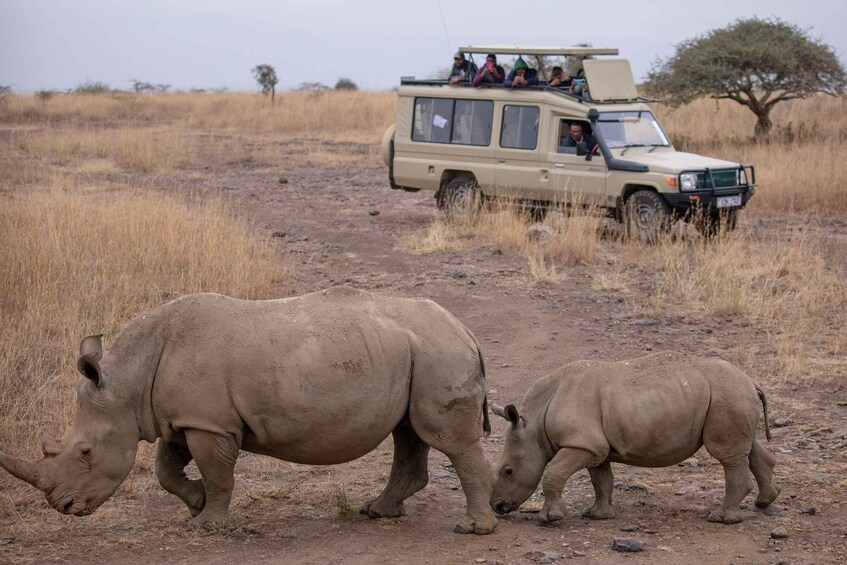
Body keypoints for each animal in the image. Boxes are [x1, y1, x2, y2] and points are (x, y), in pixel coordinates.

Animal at [0, 287, 498, 534]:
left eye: (85, 452)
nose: (63, 507)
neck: (128, 382)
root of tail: (466, 330)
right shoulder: (184, 417)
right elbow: (165, 470)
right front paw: (196, 505)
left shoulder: (210, 424)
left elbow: (218, 474)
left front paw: (207, 526)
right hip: (418, 353)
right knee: (409, 432)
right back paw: (376, 512)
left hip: (438, 353)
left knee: (446, 439)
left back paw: (473, 529)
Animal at [489, 352, 780, 525]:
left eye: (508, 471)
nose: (496, 506)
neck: (534, 424)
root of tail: (751, 381)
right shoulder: (593, 447)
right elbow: (601, 480)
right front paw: (598, 516)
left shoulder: (582, 444)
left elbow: (552, 473)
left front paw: (550, 518)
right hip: (731, 396)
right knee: (747, 448)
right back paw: (765, 501)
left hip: (726, 395)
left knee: (727, 455)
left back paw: (721, 519)